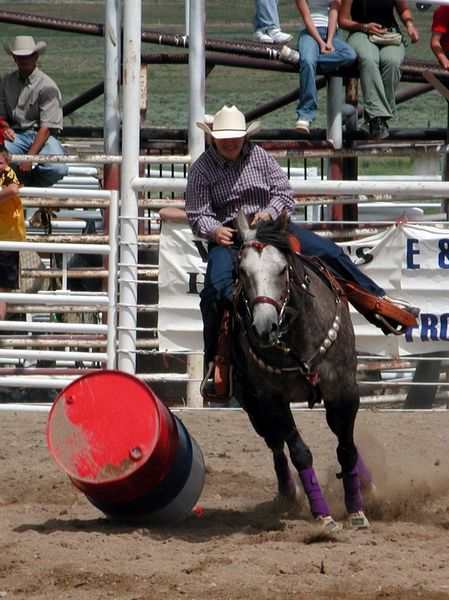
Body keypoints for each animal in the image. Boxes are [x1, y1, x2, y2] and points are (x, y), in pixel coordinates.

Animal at [229, 210, 372, 528]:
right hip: (252, 404)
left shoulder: (345, 390)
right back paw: (287, 494)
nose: (264, 328)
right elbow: (299, 452)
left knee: (342, 434)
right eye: (242, 271)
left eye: (282, 269)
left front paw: (356, 510)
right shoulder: (272, 399)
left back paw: (366, 482)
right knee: (274, 441)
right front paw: (322, 514)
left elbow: (346, 448)